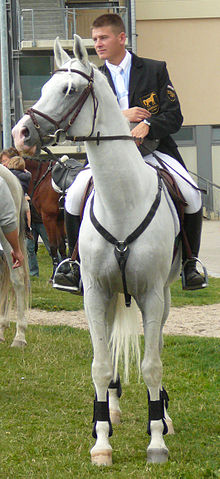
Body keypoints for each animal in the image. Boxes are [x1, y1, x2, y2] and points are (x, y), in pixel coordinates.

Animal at [11, 36, 181, 464]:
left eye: (69, 90)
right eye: (43, 87)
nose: (21, 133)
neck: (120, 201)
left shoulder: (152, 294)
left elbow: (151, 365)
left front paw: (157, 440)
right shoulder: (95, 292)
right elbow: (101, 365)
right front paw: (101, 439)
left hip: (164, 295)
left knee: (157, 348)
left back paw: (164, 415)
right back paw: (114, 409)